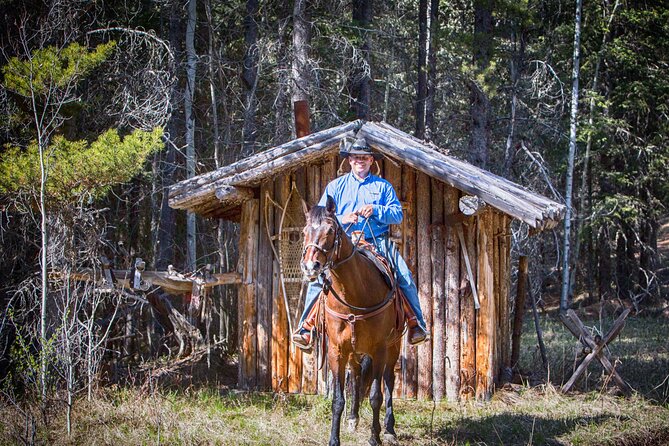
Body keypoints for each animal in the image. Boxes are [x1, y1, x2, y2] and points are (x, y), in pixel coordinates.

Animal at [300, 197, 400, 446]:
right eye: (305, 231)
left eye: (330, 230)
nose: (310, 266)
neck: (355, 294)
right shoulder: (336, 351)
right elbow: (338, 399)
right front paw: (334, 439)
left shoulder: (380, 349)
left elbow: (376, 396)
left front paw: (375, 437)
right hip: (354, 351)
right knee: (355, 375)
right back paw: (353, 418)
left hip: (394, 347)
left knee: (389, 380)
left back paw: (389, 430)